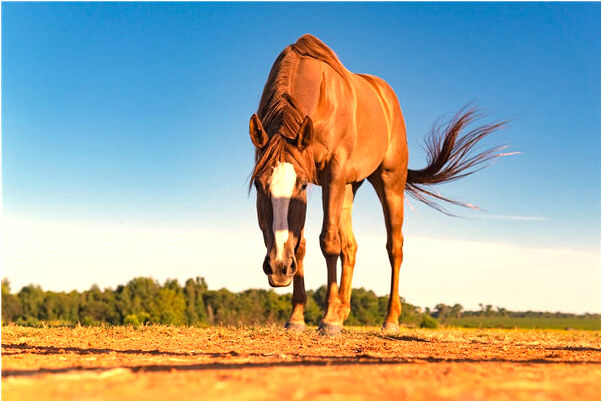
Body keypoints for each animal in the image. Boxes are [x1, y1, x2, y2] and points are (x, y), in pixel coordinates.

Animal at [246, 34, 504, 336]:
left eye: (300, 185)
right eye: (259, 185)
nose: (278, 268)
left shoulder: (333, 172)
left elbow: (328, 241)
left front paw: (328, 320)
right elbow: (302, 244)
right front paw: (298, 317)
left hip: (389, 182)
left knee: (394, 247)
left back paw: (389, 319)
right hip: (349, 186)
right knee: (351, 246)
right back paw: (343, 311)